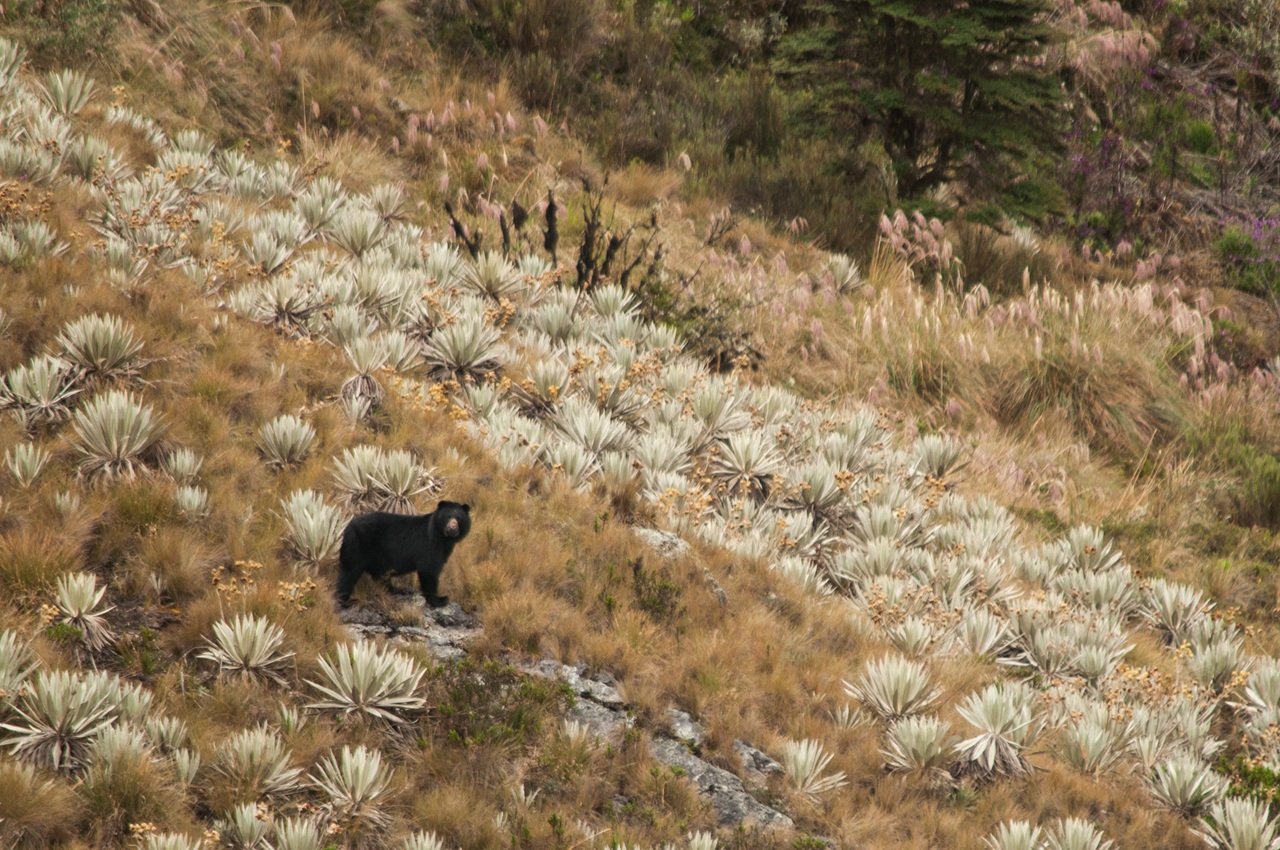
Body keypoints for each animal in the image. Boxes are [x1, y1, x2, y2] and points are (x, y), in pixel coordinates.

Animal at [336, 500, 472, 608]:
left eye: (459, 518)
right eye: (448, 516)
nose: (453, 526)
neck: (442, 538)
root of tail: (347, 527)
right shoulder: (428, 546)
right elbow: (428, 570)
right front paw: (440, 600)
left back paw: (398, 590)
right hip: (358, 545)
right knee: (349, 572)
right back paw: (345, 600)